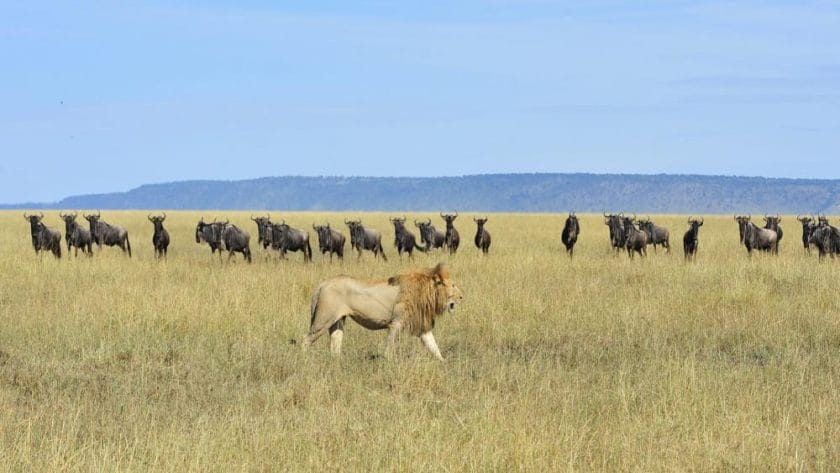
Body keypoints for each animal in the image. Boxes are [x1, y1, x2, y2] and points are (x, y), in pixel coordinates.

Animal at [300, 262, 462, 358]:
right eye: (453, 285)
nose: (462, 296)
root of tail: (322, 284)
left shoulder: (423, 327)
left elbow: (434, 347)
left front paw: (444, 364)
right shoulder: (396, 323)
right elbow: (389, 348)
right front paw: (387, 365)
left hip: (337, 321)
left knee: (335, 344)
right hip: (323, 320)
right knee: (305, 339)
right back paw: (304, 361)